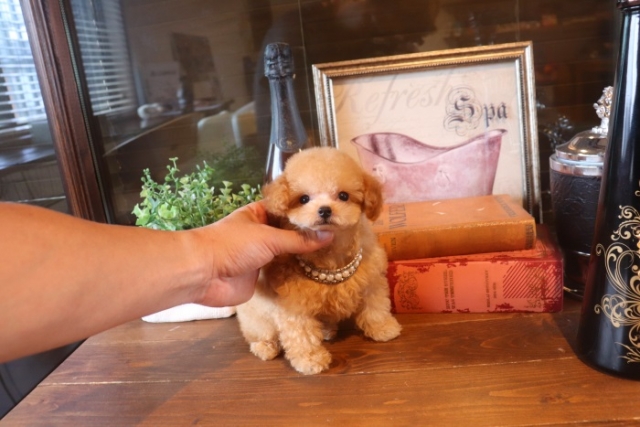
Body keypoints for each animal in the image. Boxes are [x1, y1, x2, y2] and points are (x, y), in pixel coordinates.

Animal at [236, 147, 401, 375]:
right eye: (304, 199)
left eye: (343, 196)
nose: (324, 210)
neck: (330, 254)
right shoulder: (294, 305)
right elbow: (302, 334)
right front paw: (310, 360)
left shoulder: (371, 280)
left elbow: (375, 306)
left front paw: (383, 328)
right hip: (257, 318)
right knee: (260, 335)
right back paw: (265, 347)